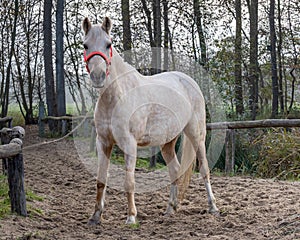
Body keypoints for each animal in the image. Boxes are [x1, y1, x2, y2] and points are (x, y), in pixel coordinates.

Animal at [82, 16, 218, 225]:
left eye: (108, 44)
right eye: (85, 45)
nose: (97, 76)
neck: (116, 97)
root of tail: (189, 81)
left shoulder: (129, 144)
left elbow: (129, 182)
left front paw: (131, 217)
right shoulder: (103, 142)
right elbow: (101, 180)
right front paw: (96, 216)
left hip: (196, 135)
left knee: (204, 168)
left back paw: (213, 207)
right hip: (168, 142)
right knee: (175, 170)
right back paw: (170, 209)